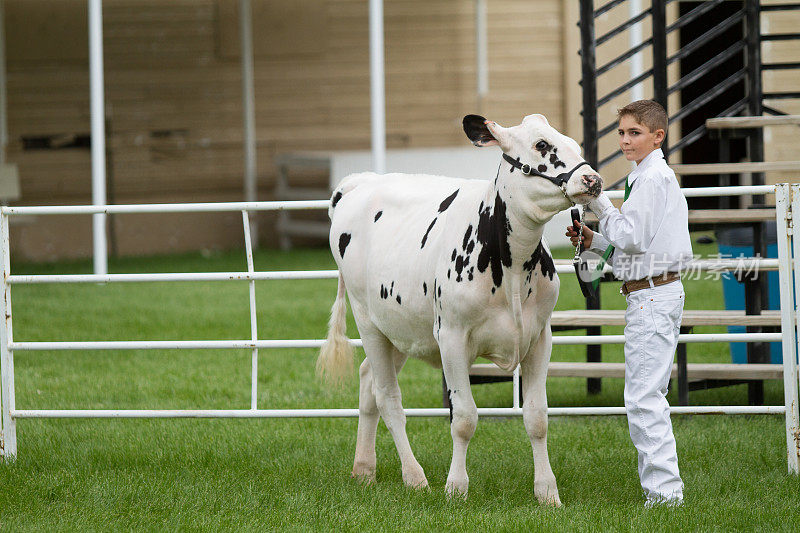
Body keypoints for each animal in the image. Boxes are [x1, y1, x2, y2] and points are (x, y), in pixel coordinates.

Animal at [318, 112, 600, 502]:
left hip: (401, 330)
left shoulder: (540, 337)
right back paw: (414, 477)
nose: (593, 180)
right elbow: (464, 417)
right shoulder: (451, 336)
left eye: (574, 142)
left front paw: (546, 492)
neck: (512, 267)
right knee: (387, 396)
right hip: (368, 321)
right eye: (542, 145)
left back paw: (364, 469)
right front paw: (456, 488)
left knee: (366, 381)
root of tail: (359, 183)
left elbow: (537, 417)